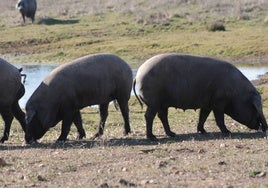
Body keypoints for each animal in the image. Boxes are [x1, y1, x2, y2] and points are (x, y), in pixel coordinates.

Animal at [133, 53, 266, 140]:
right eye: (254, 108)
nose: (263, 127)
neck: (237, 93)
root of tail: (138, 74)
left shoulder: (207, 104)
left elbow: (203, 117)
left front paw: (203, 131)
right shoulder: (219, 103)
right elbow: (219, 119)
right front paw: (228, 132)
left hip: (162, 103)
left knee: (162, 116)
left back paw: (172, 134)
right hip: (154, 101)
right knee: (149, 116)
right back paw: (152, 137)